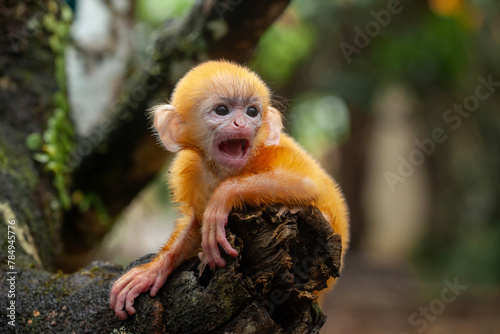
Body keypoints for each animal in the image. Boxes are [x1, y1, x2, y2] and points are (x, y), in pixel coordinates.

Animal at [109, 59, 348, 318]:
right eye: (222, 110)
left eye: (252, 112)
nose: (241, 123)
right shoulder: (191, 167)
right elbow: (195, 222)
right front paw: (154, 270)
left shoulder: (272, 151)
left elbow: (308, 184)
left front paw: (222, 197)